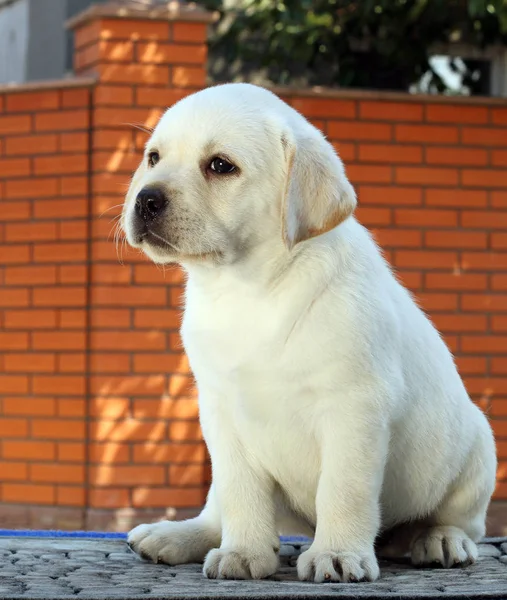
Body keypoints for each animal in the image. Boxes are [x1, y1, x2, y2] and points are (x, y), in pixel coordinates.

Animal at [123, 83, 496, 580]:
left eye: (220, 165)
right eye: (153, 158)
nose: (145, 200)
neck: (250, 287)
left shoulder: (354, 409)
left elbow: (343, 490)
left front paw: (337, 553)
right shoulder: (221, 412)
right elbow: (240, 492)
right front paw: (245, 552)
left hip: (477, 450)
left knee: (460, 521)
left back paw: (437, 539)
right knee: (217, 508)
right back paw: (177, 535)